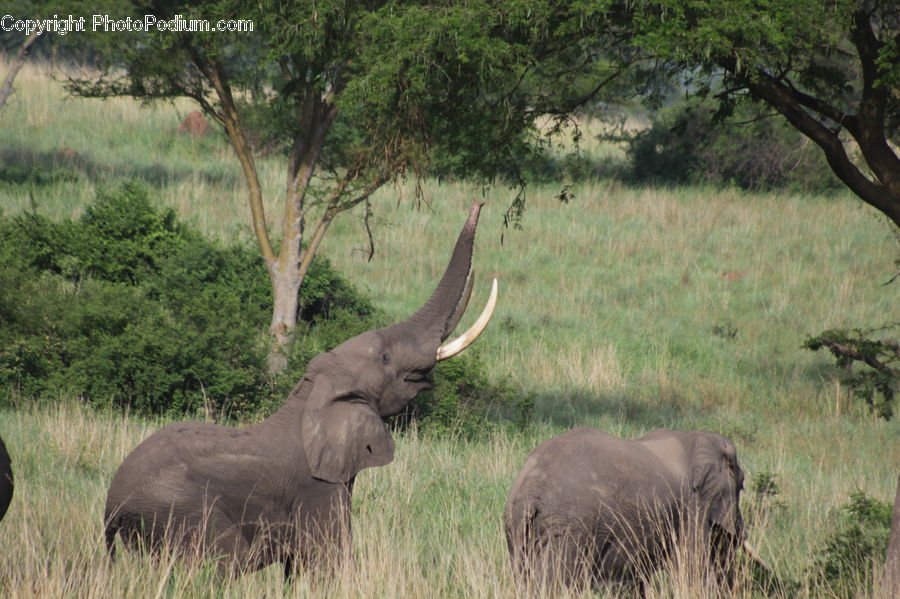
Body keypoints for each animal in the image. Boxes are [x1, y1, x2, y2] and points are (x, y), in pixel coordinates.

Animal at [105, 202, 500, 576]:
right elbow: (328, 559)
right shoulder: (316, 486)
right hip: (180, 512)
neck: (309, 396)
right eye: (385, 358)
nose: (480, 202)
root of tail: (110, 507)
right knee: (220, 564)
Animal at [502, 428, 748, 592]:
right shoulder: (692, 507)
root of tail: (530, 490)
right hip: (570, 529)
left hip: (518, 527)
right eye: (742, 485)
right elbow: (694, 568)